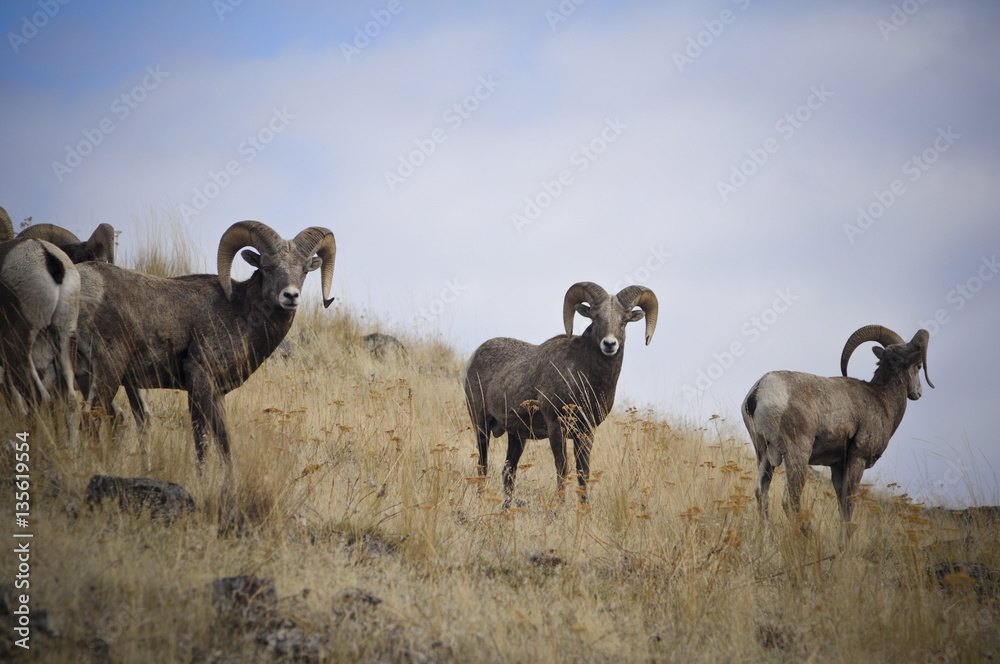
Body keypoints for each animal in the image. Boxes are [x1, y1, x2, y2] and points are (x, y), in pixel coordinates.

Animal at [74, 220, 335, 469]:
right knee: (90, 418)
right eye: (267, 267)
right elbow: (202, 443)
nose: (290, 296)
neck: (240, 312)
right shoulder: (199, 381)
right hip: (109, 369)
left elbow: (224, 444)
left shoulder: (217, 394)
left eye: (304, 270)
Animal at [463, 282, 658, 507]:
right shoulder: (557, 427)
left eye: (624, 321)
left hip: (517, 436)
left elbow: (583, 473)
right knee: (483, 465)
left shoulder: (586, 432)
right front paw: (559, 507)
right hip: (481, 426)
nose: (609, 344)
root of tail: (472, 358)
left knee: (508, 471)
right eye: (595, 318)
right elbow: (562, 469)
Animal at [741, 324, 933, 529]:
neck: (881, 398)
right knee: (790, 500)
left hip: (763, 454)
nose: (918, 393)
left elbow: (842, 507)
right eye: (919, 366)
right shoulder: (857, 460)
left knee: (761, 493)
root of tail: (760, 391)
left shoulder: (837, 467)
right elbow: (848, 507)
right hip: (797, 454)